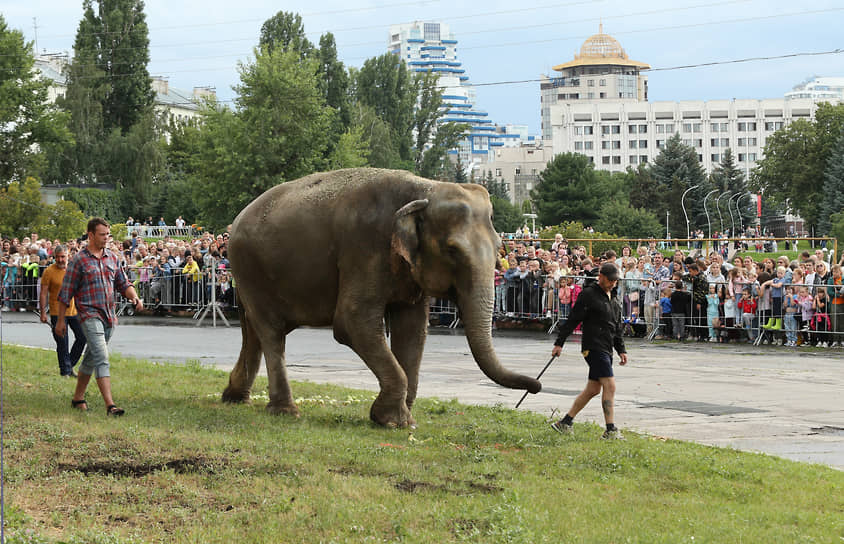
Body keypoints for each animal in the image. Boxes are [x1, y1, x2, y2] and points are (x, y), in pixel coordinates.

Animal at [223, 168, 540, 428]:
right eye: (452, 250)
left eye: (499, 247)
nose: (535, 386)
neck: (425, 189)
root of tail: (236, 220)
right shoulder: (364, 248)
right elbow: (352, 322)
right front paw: (392, 421)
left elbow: (413, 329)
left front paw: (404, 419)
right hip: (250, 268)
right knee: (271, 332)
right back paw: (285, 411)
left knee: (253, 330)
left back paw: (235, 398)